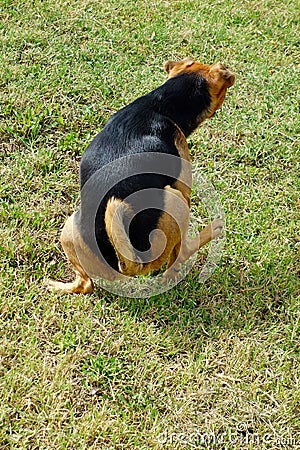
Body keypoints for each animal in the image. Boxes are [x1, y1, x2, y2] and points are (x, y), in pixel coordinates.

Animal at [46, 58, 234, 294]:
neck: (158, 104)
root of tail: (127, 263)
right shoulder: (183, 182)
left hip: (70, 227)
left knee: (85, 284)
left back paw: (56, 286)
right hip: (176, 199)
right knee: (181, 254)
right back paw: (214, 229)